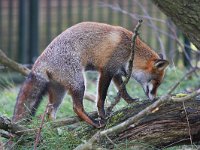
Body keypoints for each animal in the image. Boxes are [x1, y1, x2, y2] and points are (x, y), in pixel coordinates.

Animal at [12, 22, 169, 127]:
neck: (130, 50)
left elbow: (123, 91)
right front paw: (102, 115)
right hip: (79, 83)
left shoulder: (116, 72)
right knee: (76, 107)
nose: (155, 98)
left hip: (60, 93)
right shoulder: (106, 71)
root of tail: (39, 60)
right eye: (156, 82)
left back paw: (54, 129)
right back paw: (93, 122)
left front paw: (131, 101)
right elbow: (101, 98)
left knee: (50, 112)